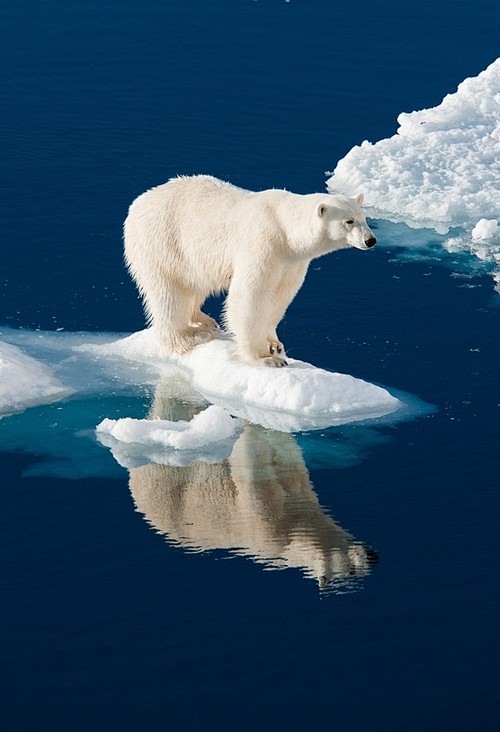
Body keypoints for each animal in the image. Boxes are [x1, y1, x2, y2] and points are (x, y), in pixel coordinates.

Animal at [125, 175, 376, 368]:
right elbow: (250, 296)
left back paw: (204, 321)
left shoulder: (292, 262)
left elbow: (280, 296)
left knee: (195, 284)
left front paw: (275, 344)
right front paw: (266, 358)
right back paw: (187, 338)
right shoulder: (264, 244)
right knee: (169, 293)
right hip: (162, 242)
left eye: (365, 218)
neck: (286, 231)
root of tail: (137, 203)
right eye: (349, 221)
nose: (371, 240)